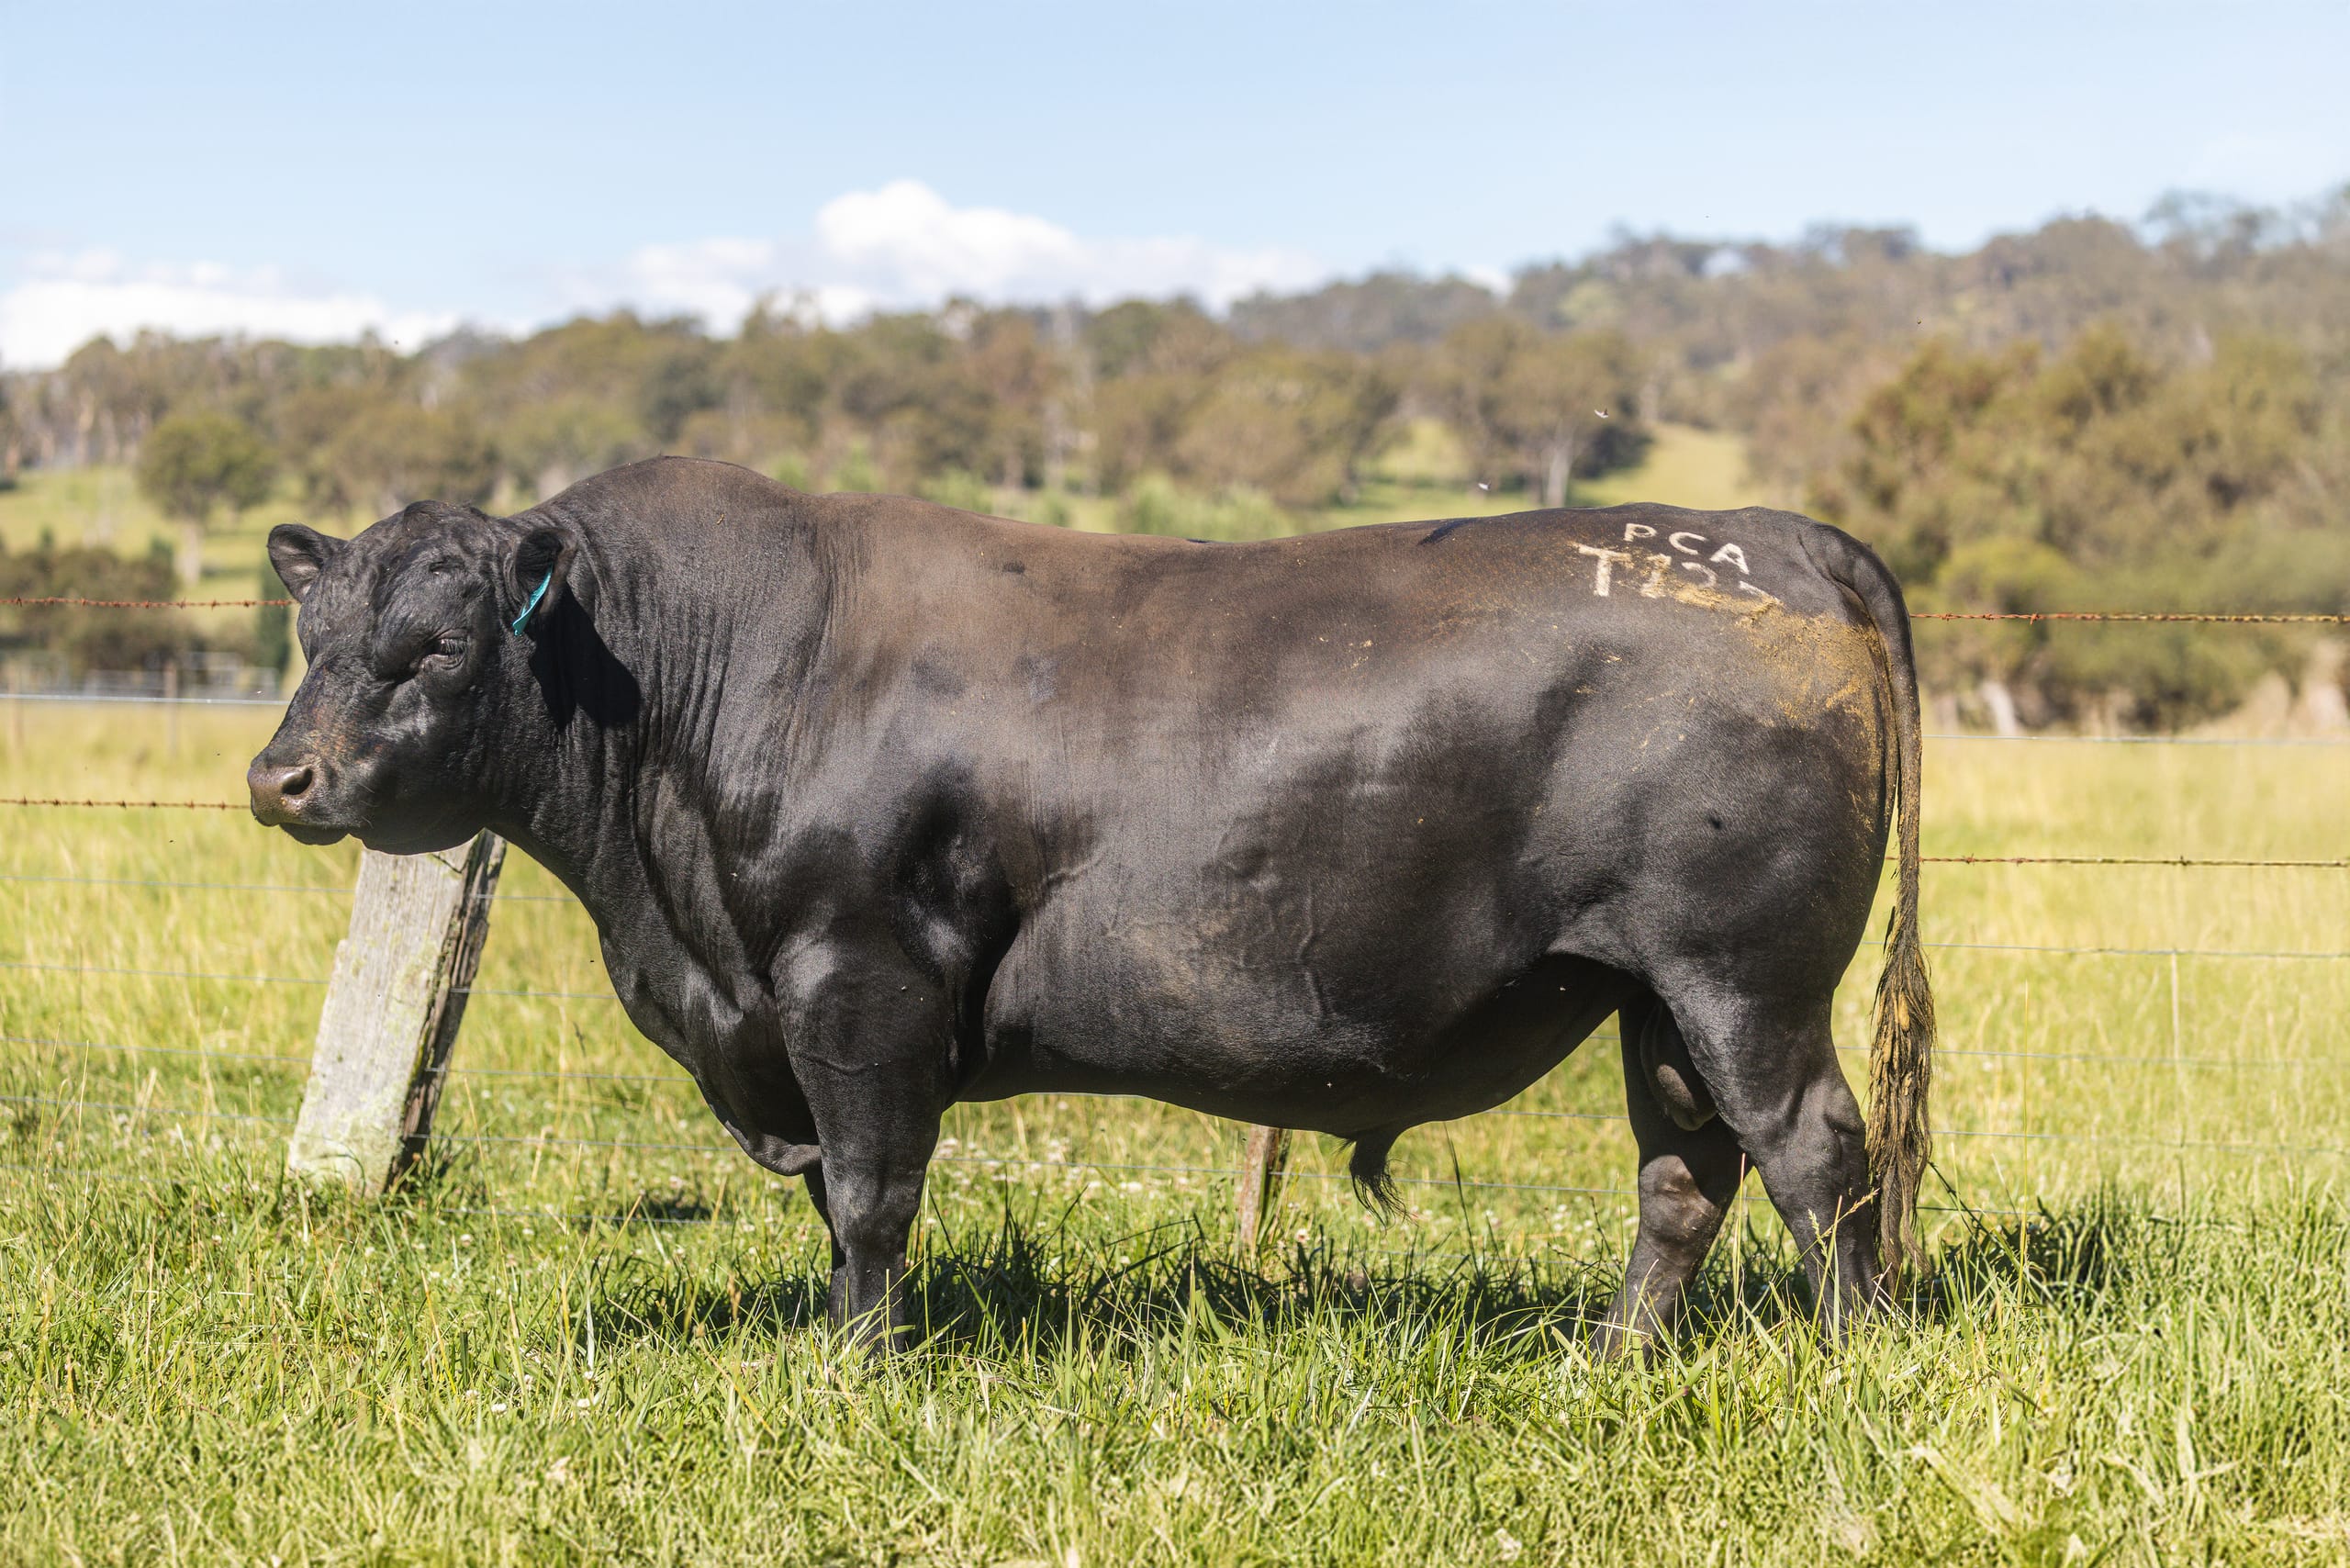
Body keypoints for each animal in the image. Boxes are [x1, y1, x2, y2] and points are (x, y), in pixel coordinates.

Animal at [249, 456, 1934, 1353]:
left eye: (432, 647)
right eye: (313, 636)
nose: (281, 776)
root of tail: (1770, 533)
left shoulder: (857, 978)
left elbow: (869, 1189)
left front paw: (857, 1366)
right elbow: (843, 1197)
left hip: (1742, 976)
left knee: (1812, 1152)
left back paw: (1848, 1360)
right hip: (1654, 991)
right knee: (1683, 1173)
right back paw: (1614, 1359)